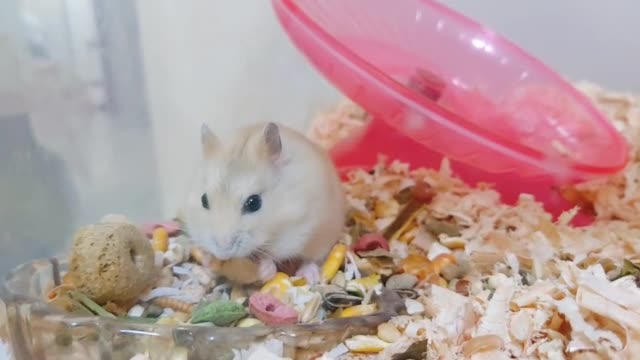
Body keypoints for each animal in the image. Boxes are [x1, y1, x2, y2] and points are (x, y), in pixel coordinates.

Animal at [182, 123, 348, 284]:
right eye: (204, 200)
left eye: (254, 203)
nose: (223, 253)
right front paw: (210, 260)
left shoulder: (297, 229)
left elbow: (273, 254)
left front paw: (265, 269)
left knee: (312, 258)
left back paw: (309, 275)